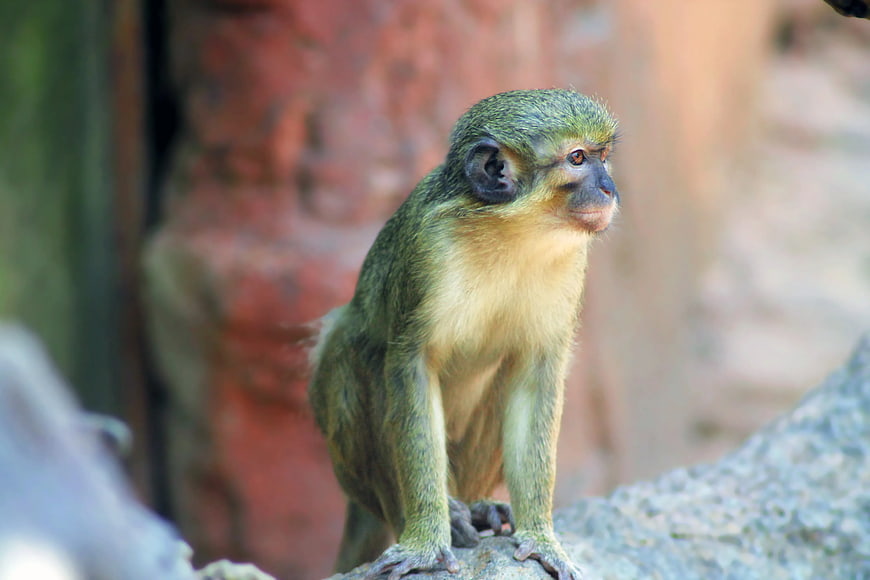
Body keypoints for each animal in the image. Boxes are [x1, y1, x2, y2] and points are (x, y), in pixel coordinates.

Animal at [308, 89, 619, 580]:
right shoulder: (428, 248)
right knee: (352, 347)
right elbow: (410, 363)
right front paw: (425, 540)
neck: (511, 230)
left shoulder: (570, 262)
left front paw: (541, 538)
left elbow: (534, 376)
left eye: (603, 157)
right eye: (577, 158)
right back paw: (441, 514)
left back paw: (474, 506)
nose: (609, 188)